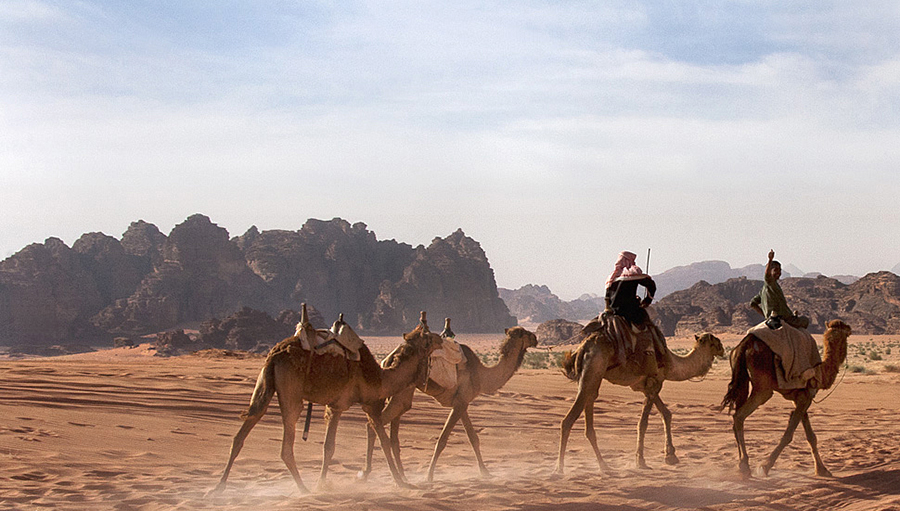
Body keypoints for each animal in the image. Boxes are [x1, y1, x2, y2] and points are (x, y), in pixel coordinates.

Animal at [205, 306, 442, 494]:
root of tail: (275, 353)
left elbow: (329, 447)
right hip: (291, 394)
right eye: (428, 336)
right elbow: (381, 440)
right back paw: (303, 489)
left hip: (264, 384)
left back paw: (217, 488)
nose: (441, 338)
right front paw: (402, 483)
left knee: (242, 432)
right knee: (286, 447)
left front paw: (323, 484)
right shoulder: (367, 404)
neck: (380, 378)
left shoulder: (335, 406)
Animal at [360, 324, 540, 484]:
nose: (536, 338)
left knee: (389, 430)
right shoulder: (460, 404)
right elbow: (442, 440)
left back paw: (395, 475)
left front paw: (485, 472)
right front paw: (429, 476)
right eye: (524, 333)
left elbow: (473, 438)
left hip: (399, 393)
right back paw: (370, 473)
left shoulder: (462, 403)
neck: (481, 375)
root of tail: (387, 360)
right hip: (402, 393)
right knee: (374, 423)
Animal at [556, 326, 724, 474]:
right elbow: (643, 423)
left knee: (589, 418)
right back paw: (559, 470)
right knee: (568, 420)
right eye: (714, 342)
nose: (722, 349)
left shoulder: (647, 387)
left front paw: (671, 456)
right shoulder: (654, 383)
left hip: (592, 377)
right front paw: (641, 462)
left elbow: (666, 414)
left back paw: (604, 466)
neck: (671, 363)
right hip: (593, 369)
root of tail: (583, 347)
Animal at [716, 320, 852, 480]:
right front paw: (764, 467)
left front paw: (822, 470)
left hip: (741, 380)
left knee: (737, 415)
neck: (821, 371)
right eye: (845, 331)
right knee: (739, 415)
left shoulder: (800, 397)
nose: (850, 329)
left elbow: (811, 436)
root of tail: (746, 344)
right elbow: (789, 435)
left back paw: (742, 466)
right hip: (763, 388)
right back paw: (745, 466)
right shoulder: (805, 397)